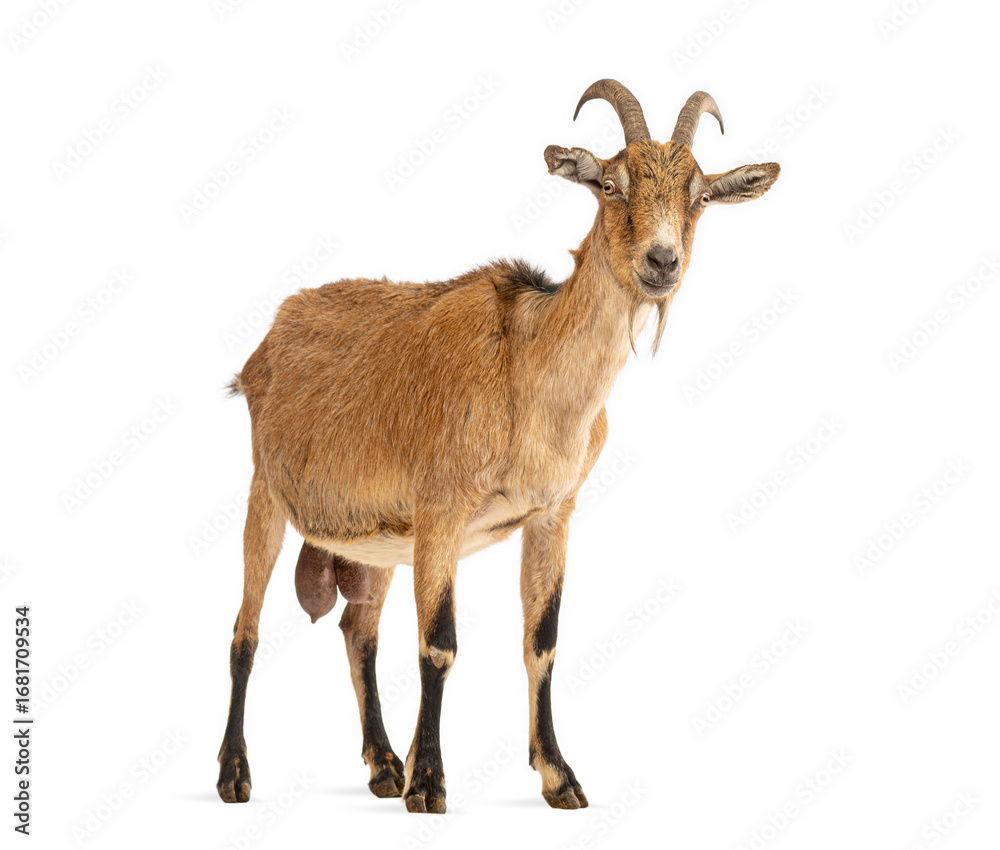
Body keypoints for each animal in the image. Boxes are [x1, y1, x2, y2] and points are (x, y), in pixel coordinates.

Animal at [217, 79, 780, 813]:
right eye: (610, 184)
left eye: (701, 195)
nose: (662, 262)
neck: (530, 375)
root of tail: (266, 343)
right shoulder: (442, 508)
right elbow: (439, 644)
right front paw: (431, 785)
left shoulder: (550, 515)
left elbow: (542, 641)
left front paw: (558, 776)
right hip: (267, 492)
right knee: (246, 630)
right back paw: (236, 773)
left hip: (378, 539)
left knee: (357, 633)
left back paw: (382, 767)